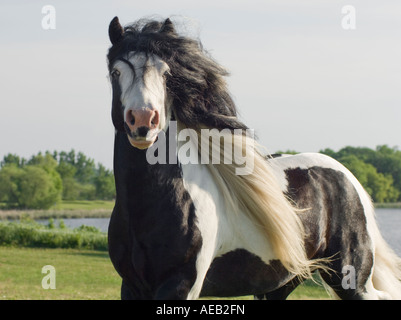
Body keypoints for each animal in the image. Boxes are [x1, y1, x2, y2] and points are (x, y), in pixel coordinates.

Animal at [105, 16, 400, 298]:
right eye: (116, 71)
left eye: (167, 74)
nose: (143, 120)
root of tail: (348, 178)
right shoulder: (131, 287)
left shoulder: (181, 284)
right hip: (282, 282)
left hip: (351, 278)